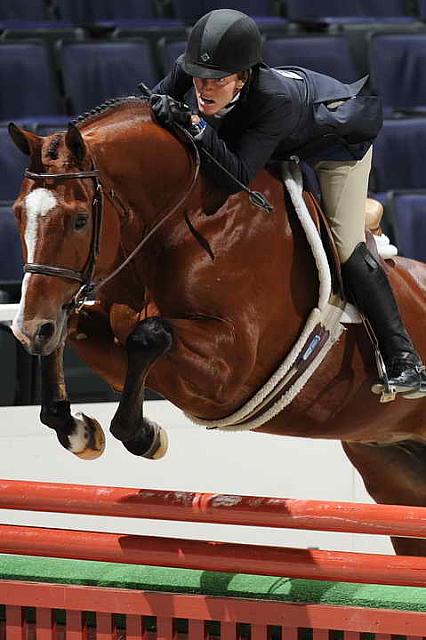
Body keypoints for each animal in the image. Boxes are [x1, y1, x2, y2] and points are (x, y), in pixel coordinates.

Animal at [5, 95, 426, 556]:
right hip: (391, 469)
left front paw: (145, 435)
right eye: (17, 213)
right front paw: (77, 430)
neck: (180, 223)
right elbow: (74, 330)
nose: (28, 328)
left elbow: (148, 336)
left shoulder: (230, 368)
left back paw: (405, 373)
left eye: (80, 219)